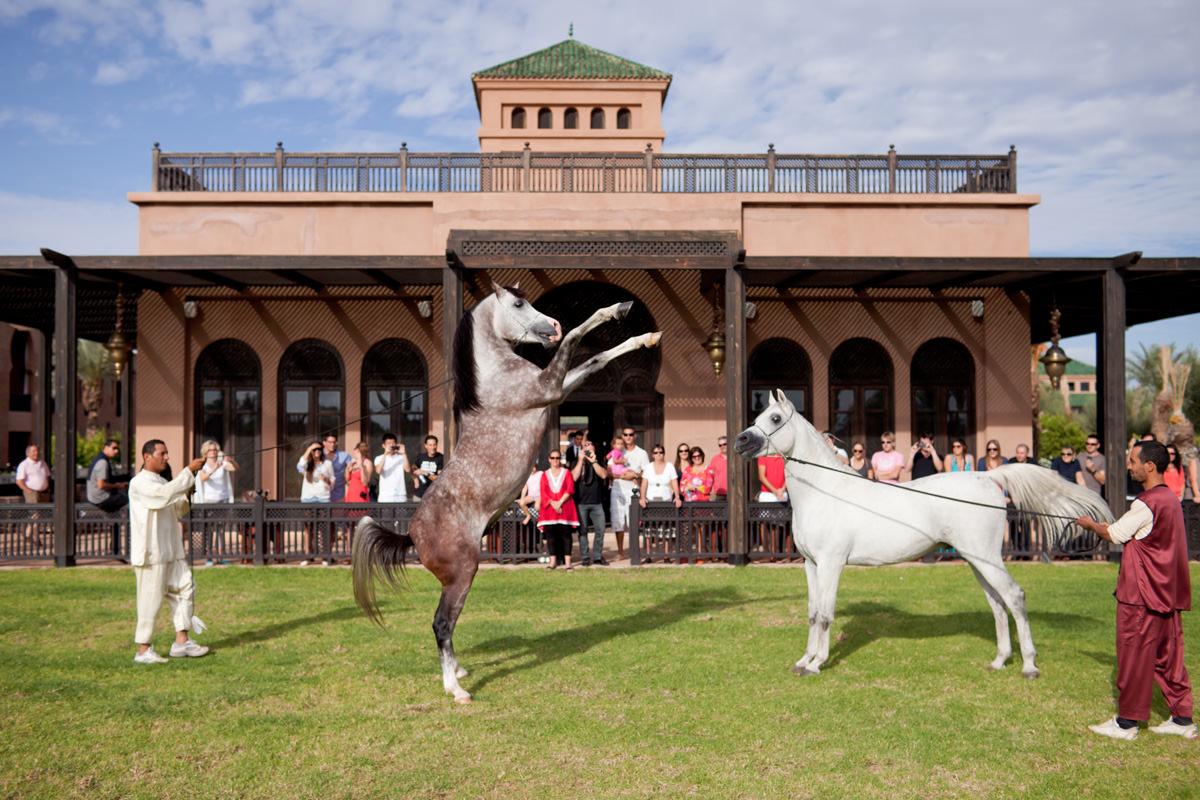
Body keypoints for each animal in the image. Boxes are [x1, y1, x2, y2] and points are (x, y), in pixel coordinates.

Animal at [350, 280, 662, 700]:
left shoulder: (559, 387)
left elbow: (597, 358)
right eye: (517, 304)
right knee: (441, 623)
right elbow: (580, 338)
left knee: (447, 626)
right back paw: (456, 690)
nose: (552, 325)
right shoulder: (550, 388)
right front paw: (614, 310)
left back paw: (460, 671)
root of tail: (411, 534)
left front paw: (644, 334)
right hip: (463, 573)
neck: (497, 376)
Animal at [729, 391, 1113, 681]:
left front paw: (817, 664)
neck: (826, 491)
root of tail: (989, 477)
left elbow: (825, 614)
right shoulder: (811, 565)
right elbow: (812, 613)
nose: (740, 441)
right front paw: (804, 661)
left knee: (1014, 597)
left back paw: (1029, 666)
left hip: (987, 558)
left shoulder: (831, 564)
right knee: (997, 603)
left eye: (774, 419)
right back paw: (999, 660)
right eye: (759, 414)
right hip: (977, 560)